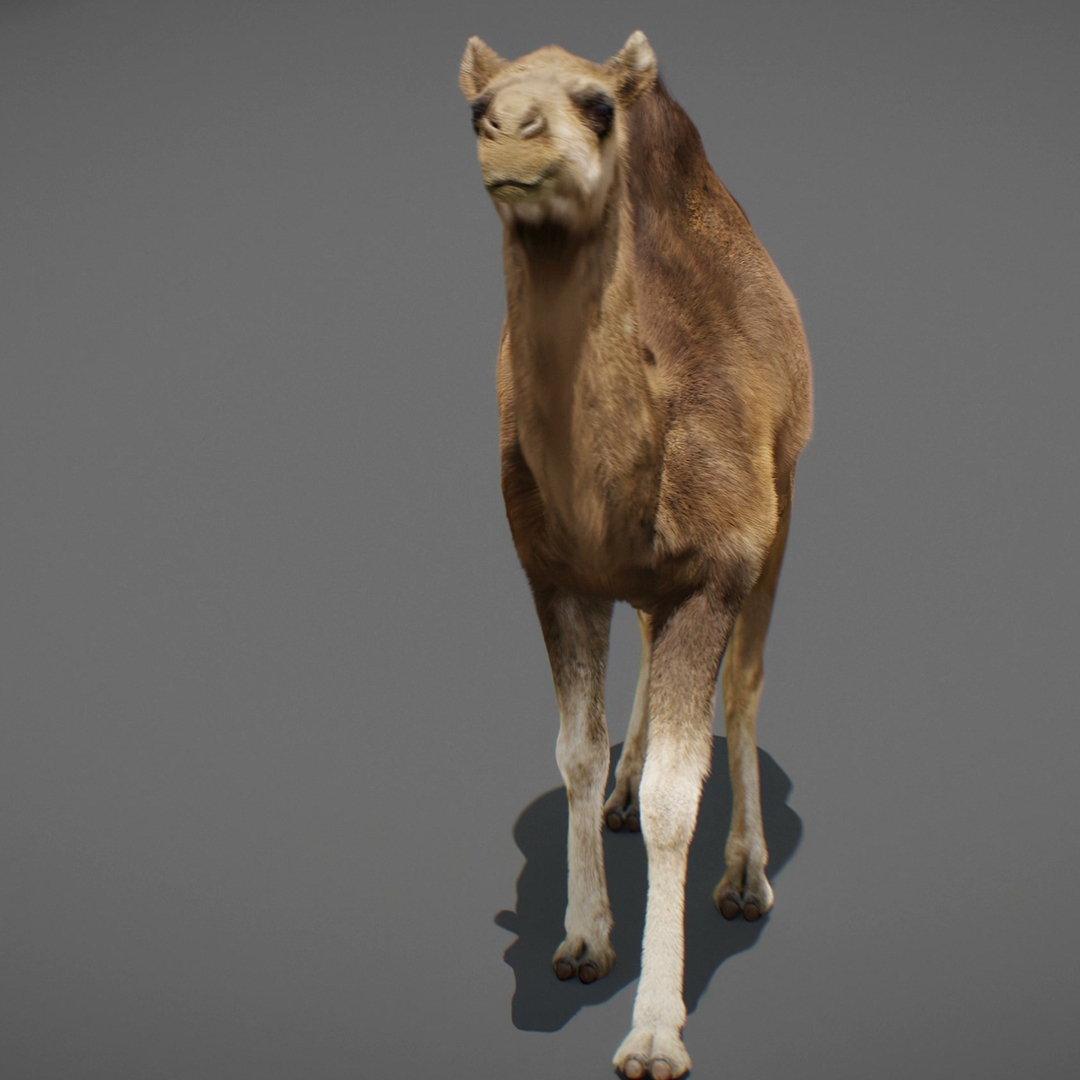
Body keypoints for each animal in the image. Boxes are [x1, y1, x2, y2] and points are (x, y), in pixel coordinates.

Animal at [460, 31, 813, 1080]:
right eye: (475, 108)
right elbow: (574, 751)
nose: (511, 129)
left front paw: (654, 1029)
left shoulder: (723, 560)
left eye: (598, 106)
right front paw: (582, 939)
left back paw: (745, 876)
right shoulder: (554, 573)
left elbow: (676, 798)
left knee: (745, 687)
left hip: (788, 494)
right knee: (651, 649)